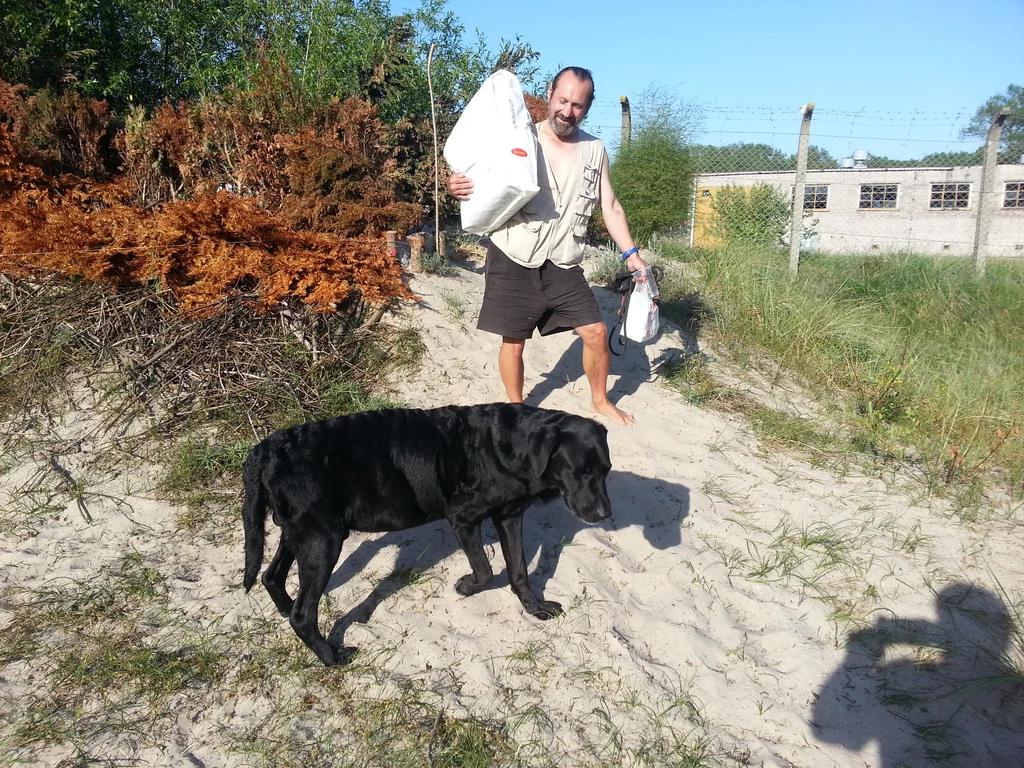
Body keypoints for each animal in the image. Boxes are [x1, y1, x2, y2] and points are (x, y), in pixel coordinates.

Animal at [241, 403, 606, 667]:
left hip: (299, 533)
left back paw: (286, 609)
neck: (512, 448)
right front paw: (465, 587)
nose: (605, 514)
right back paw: (331, 656)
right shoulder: (463, 517)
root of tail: (266, 450)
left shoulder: (510, 515)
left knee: (272, 578)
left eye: (605, 471)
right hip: (323, 540)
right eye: (581, 472)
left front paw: (535, 608)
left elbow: (518, 571)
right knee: (304, 615)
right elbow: (486, 571)